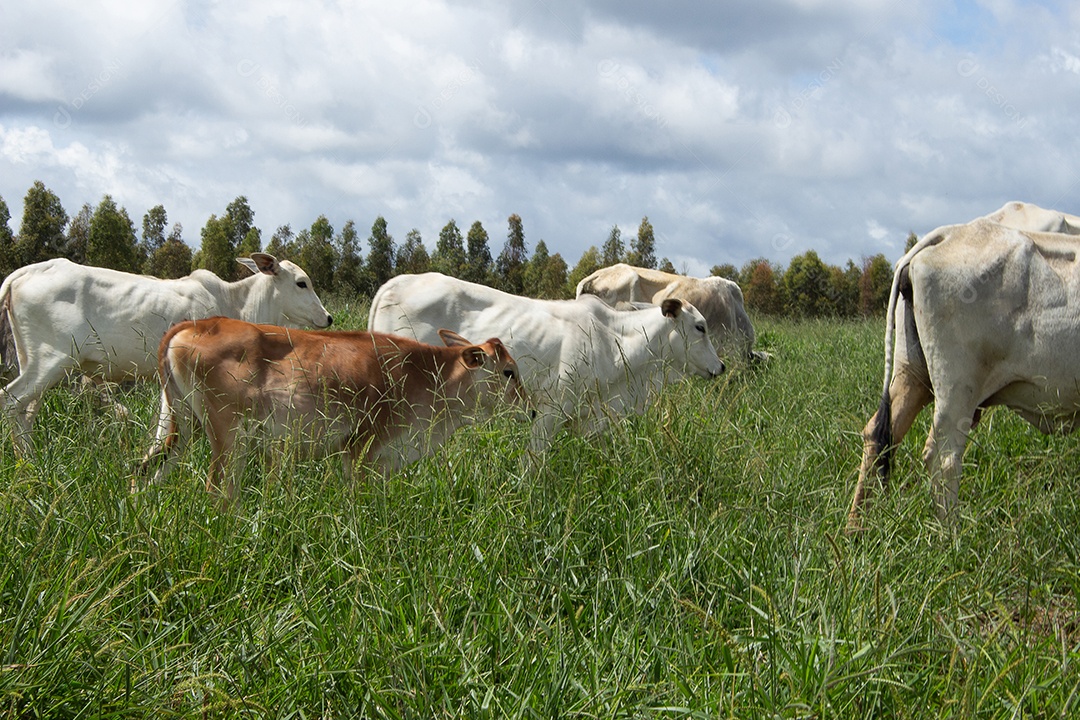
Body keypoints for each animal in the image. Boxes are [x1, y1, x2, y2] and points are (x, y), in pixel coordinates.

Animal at [0, 253, 333, 456]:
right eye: (301, 283)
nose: (328, 317)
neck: (236, 303)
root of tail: (28, 271)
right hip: (50, 362)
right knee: (10, 401)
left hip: (35, 362)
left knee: (25, 413)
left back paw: (29, 461)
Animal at [138, 317, 527, 501]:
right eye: (509, 371)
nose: (531, 410)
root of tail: (198, 323)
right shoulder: (360, 449)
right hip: (227, 436)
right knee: (217, 489)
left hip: (182, 426)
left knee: (148, 471)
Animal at [368, 272, 724, 454]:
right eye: (700, 327)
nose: (720, 367)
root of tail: (393, 284)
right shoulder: (550, 411)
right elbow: (533, 465)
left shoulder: (590, 417)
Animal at [847, 217, 1080, 530]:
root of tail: (947, 234)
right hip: (957, 389)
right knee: (942, 455)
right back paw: (951, 536)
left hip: (912, 374)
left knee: (879, 436)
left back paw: (854, 529)